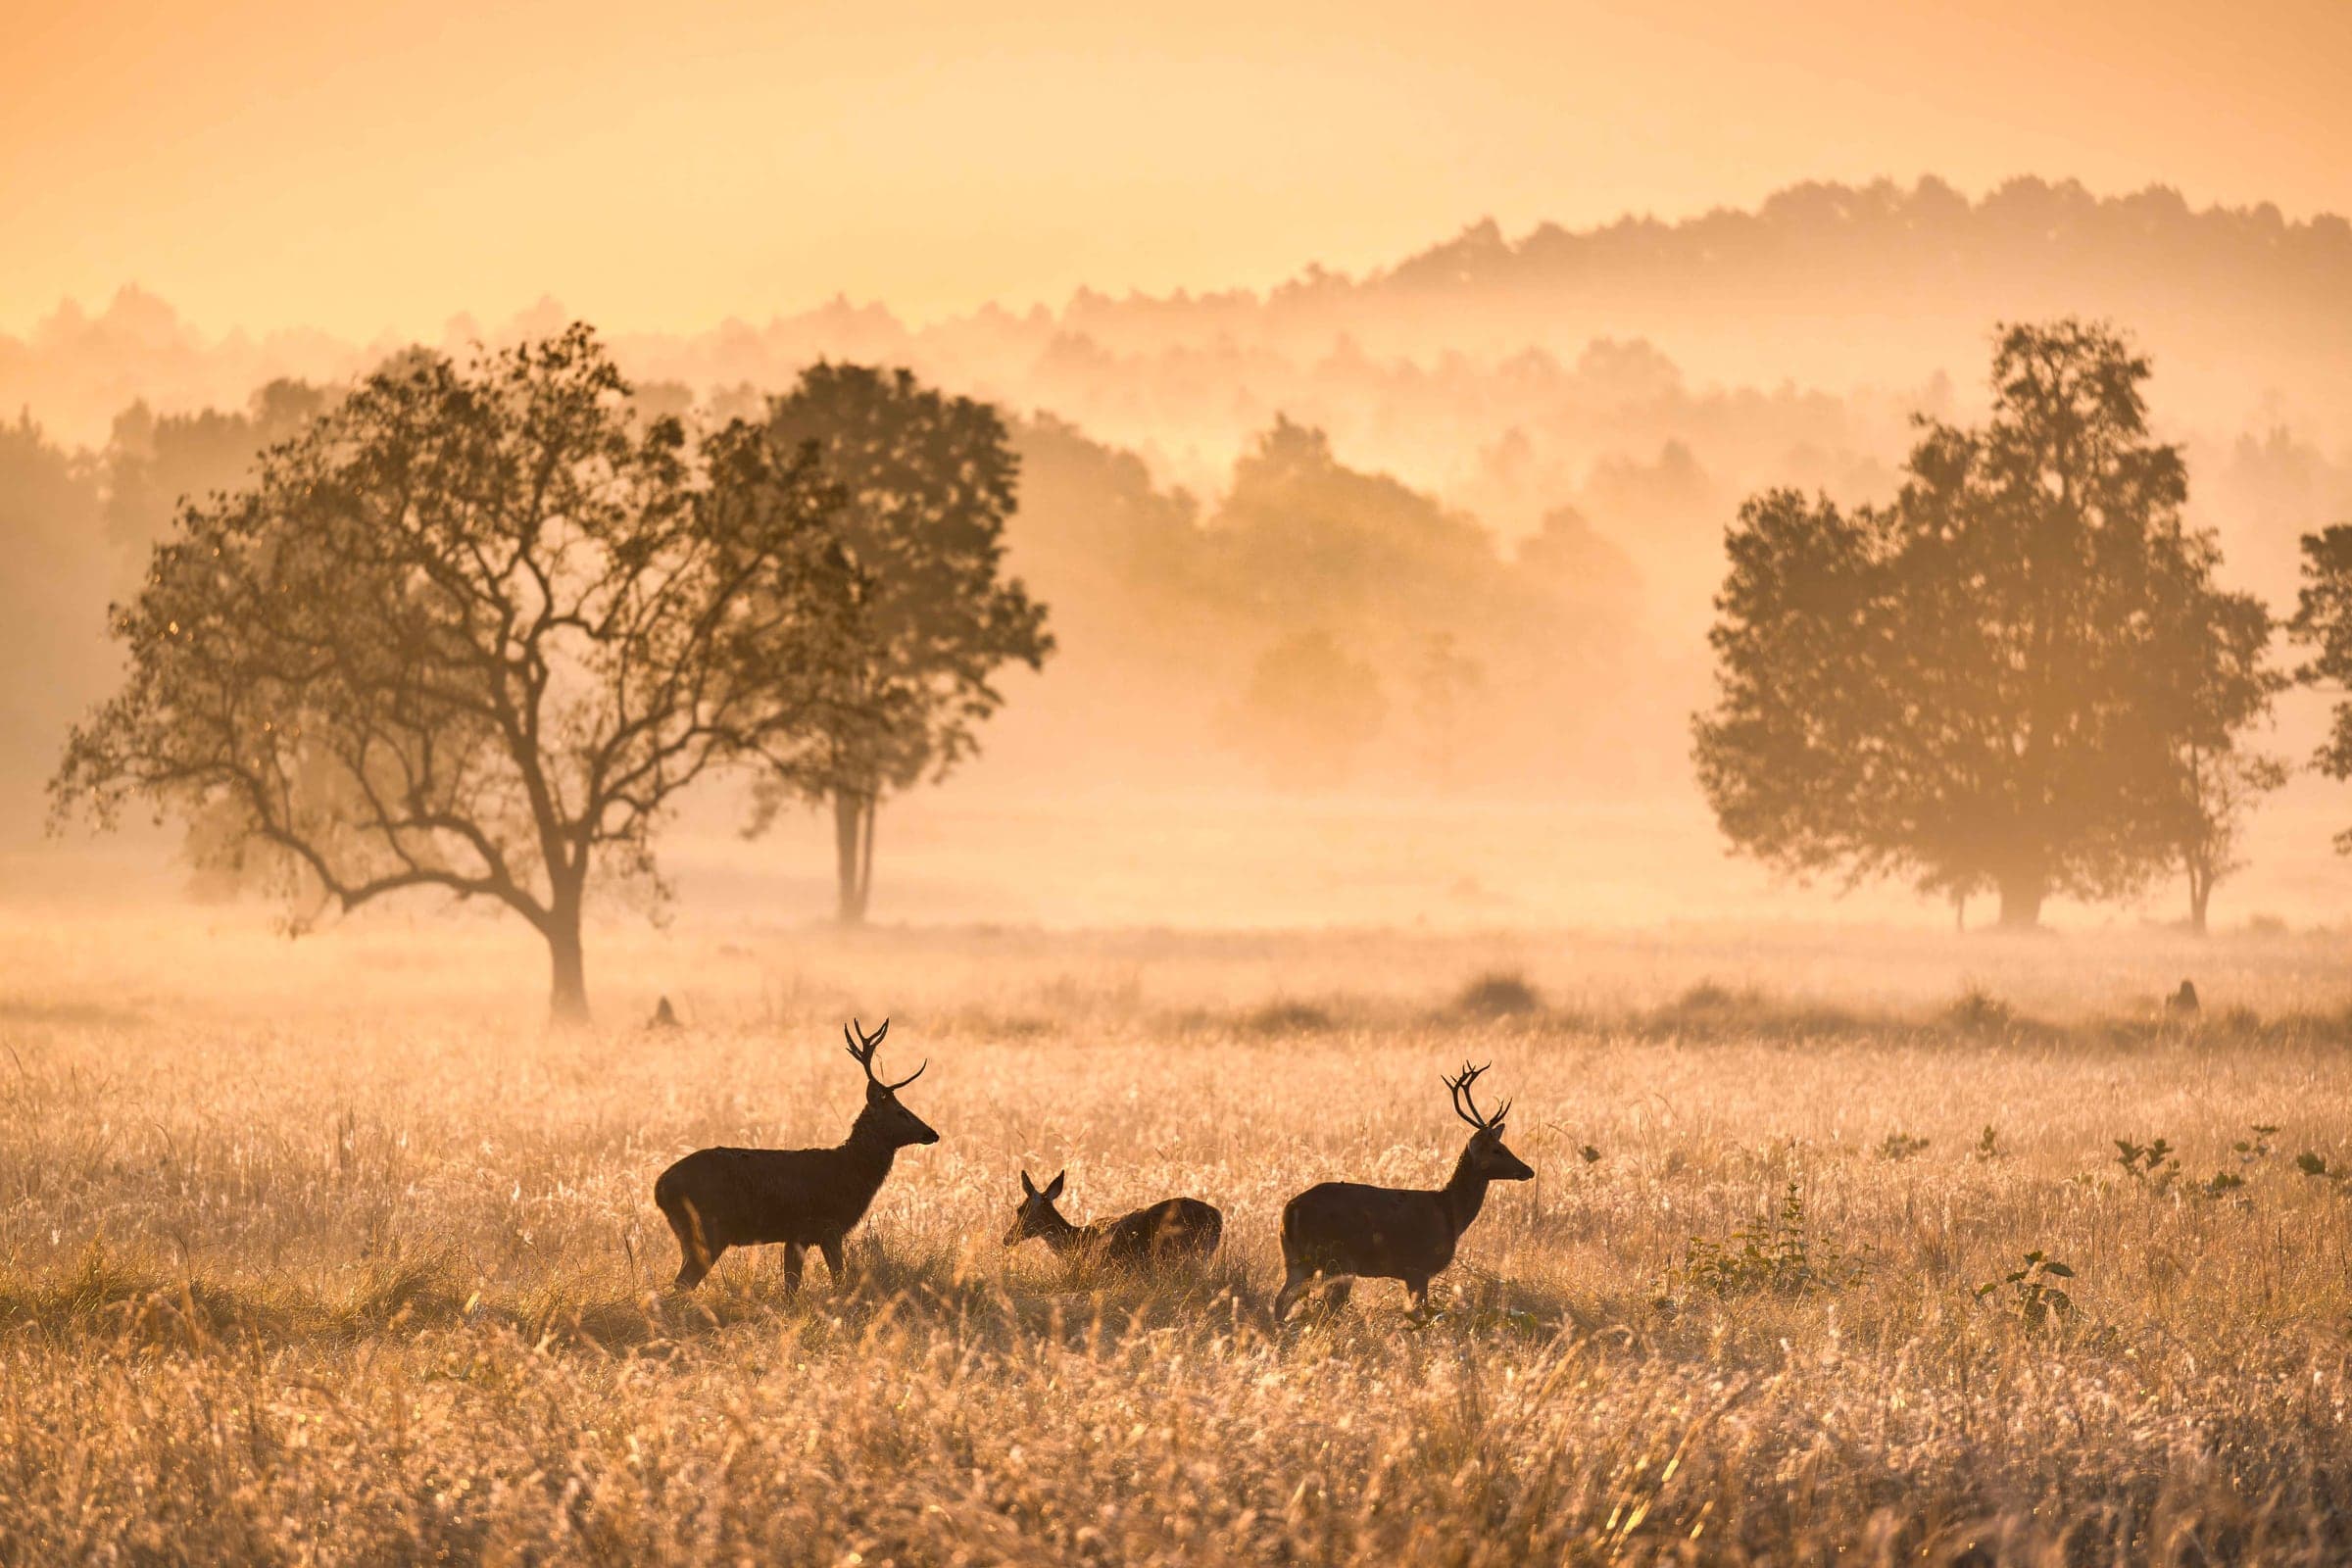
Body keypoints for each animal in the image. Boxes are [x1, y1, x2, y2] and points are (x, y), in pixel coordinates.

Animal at [653, 1017, 938, 1292]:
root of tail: (660, 1188)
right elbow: (838, 1279)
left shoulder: (795, 1235)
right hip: (707, 1228)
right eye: (901, 1111)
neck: (852, 1173)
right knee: (682, 1283)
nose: (932, 1133)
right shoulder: (828, 1225)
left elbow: (791, 1286)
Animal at [1274, 1061, 1533, 1322]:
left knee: (1282, 1299)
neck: (1450, 1212)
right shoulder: (1418, 1267)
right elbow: (1420, 1313)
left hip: (1297, 1259)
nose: (1528, 1170)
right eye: (1497, 1150)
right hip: (1335, 1258)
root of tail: (1290, 1209)